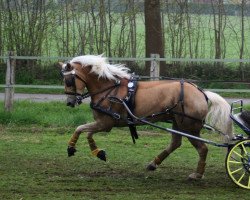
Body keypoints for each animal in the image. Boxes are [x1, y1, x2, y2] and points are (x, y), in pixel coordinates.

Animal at [58, 54, 232, 180]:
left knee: (202, 148)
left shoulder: (105, 123)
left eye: (69, 80)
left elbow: (81, 129)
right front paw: (97, 152)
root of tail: (201, 92)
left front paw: (71, 148)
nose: (70, 102)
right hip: (177, 123)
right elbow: (86, 132)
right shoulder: (102, 123)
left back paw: (197, 174)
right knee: (175, 143)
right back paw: (154, 163)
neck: (109, 90)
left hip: (189, 127)